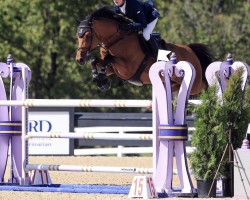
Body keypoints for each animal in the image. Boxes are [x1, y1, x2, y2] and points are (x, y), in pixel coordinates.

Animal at [75, 6, 214, 95]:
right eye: (78, 36)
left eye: (87, 35)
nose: (79, 59)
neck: (117, 40)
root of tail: (191, 51)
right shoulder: (112, 69)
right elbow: (96, 60)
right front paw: (100, 81)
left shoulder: (127, 69)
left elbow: (109, 58)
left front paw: (102, 81)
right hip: (175, 81)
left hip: (195, 84)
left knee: (203, 84)